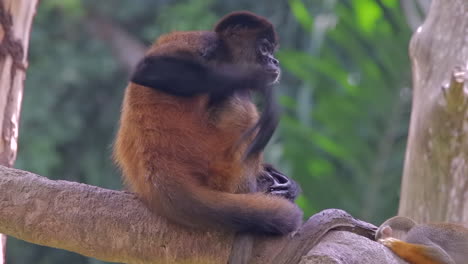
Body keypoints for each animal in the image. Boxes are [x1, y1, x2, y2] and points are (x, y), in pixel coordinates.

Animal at [115, 11, 302, 236]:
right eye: (264, 48)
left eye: (272, 51)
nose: (275, 61)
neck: (225, 53)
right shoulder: (207, 42)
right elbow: (147, 69)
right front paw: (255, 81)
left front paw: (288, 185)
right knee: (237, 96)